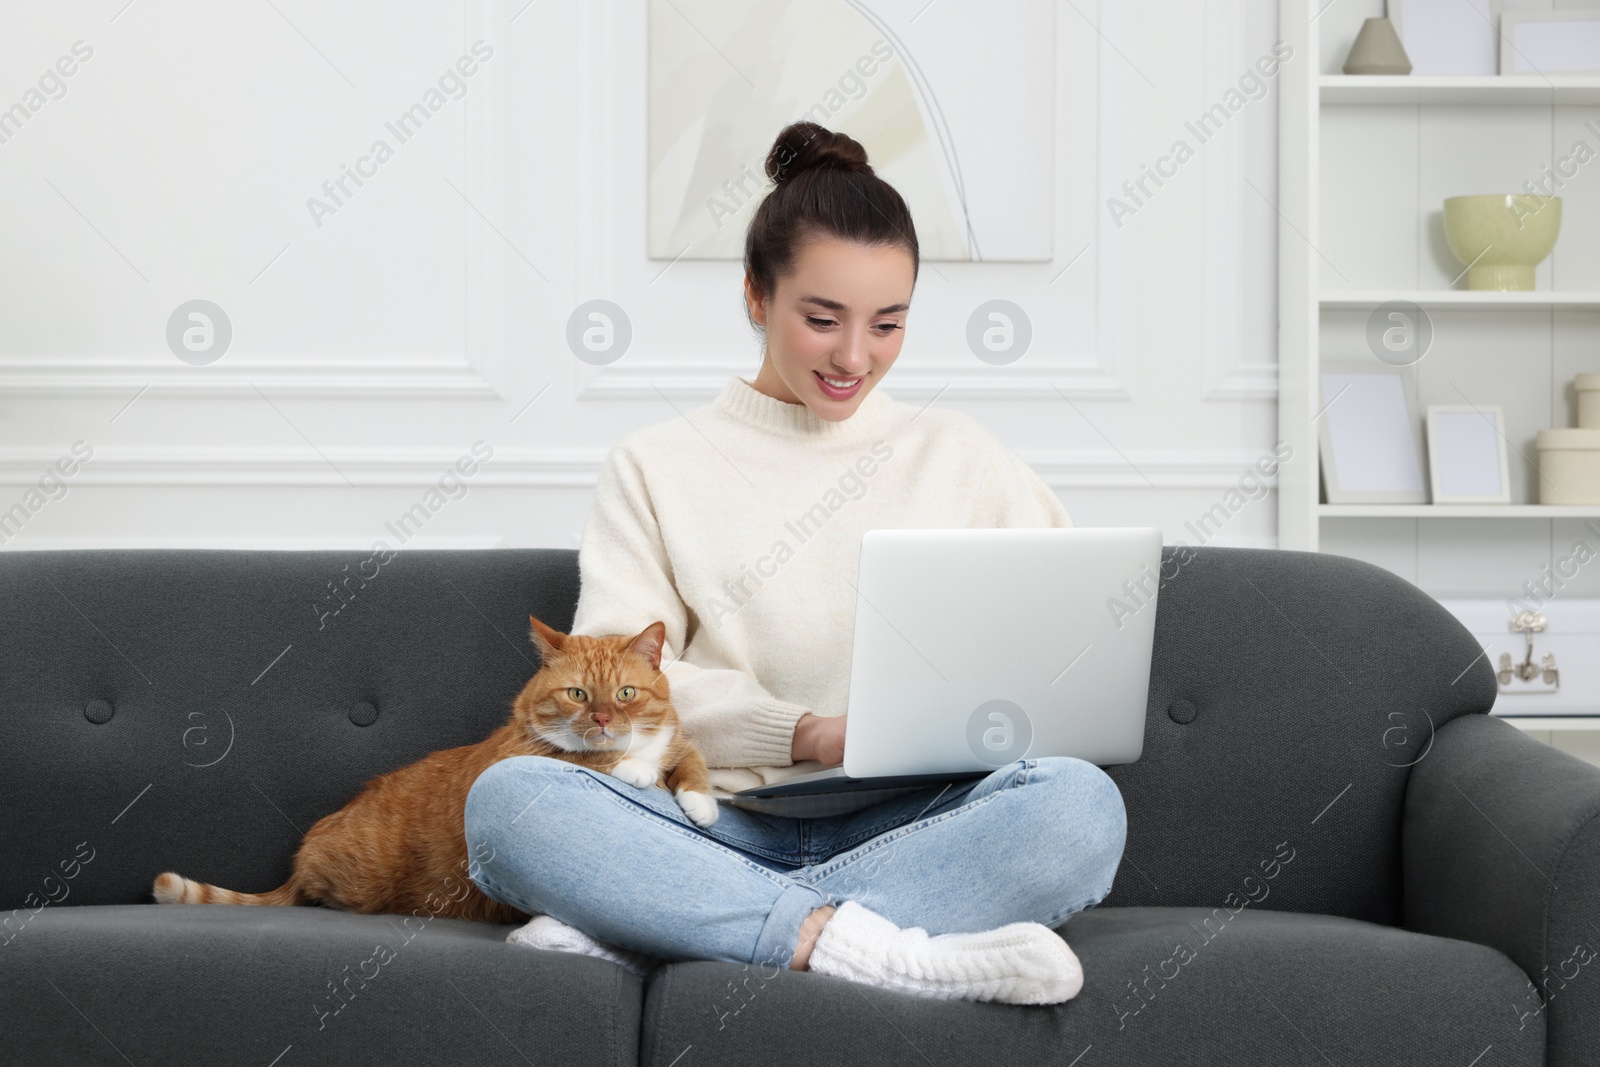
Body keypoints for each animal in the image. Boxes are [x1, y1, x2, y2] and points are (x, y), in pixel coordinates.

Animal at [152, 617, 716, 927]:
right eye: (578, 694)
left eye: (625, 693)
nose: (601, 720)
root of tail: (300, 861)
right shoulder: (529, 754)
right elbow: (592, 757)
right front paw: (636, 769)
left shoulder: (676, 739)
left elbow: (689, 757)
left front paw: (701, 802)